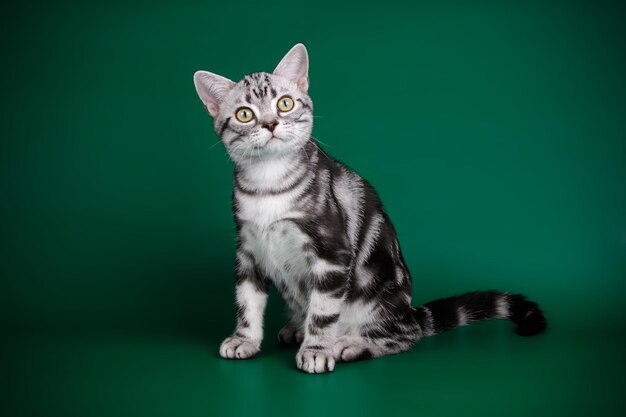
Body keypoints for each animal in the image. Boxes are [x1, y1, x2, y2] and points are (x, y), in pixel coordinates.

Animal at [191, 44, 544, 372]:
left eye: (285, 104)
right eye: (245, 114)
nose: (270, 124)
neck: (269, 183)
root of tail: (409, 312)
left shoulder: (331, 253)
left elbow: (323, 312)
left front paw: (317, 350)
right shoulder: (248, 249)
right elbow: (247, 301)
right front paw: (245, 339)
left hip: (378, 295)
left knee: (403, 338)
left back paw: (350, 344)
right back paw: (297, 328)